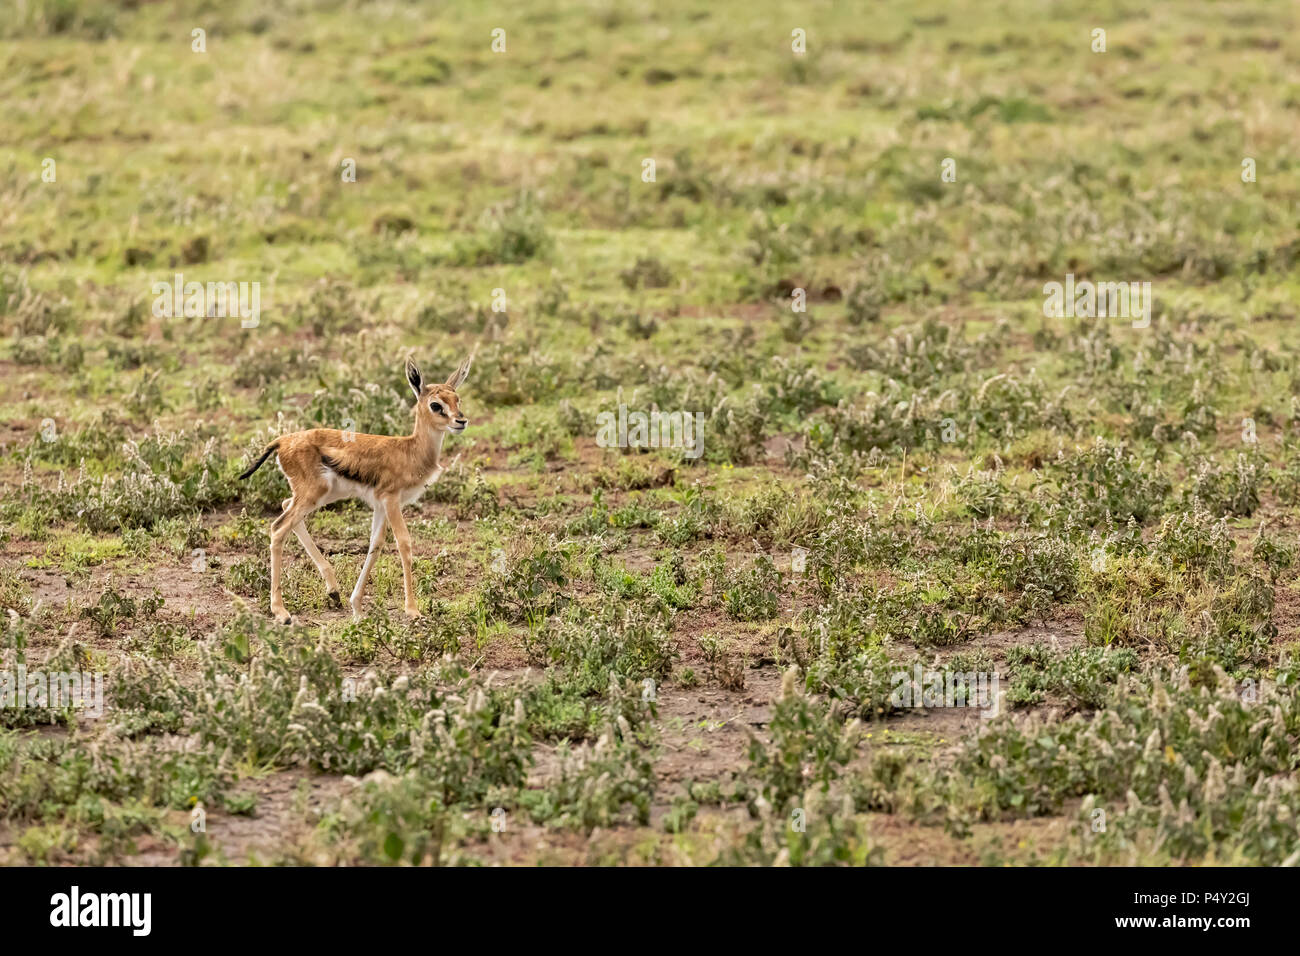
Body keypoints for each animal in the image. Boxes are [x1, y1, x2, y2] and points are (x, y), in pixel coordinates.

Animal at [238, 354, 472, 624]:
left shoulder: (381, 505)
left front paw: (357, 607)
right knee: (278, 528)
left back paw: (333, 592)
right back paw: (281, 611)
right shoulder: (391, 500)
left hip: (321, 495)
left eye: (457, 399)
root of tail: (282, 441)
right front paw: (412, 610)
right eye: (436, 404)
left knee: (286, 507)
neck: (410, 451)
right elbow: (404, 543)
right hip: (314, 495)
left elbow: (375, 545)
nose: (461, 421)